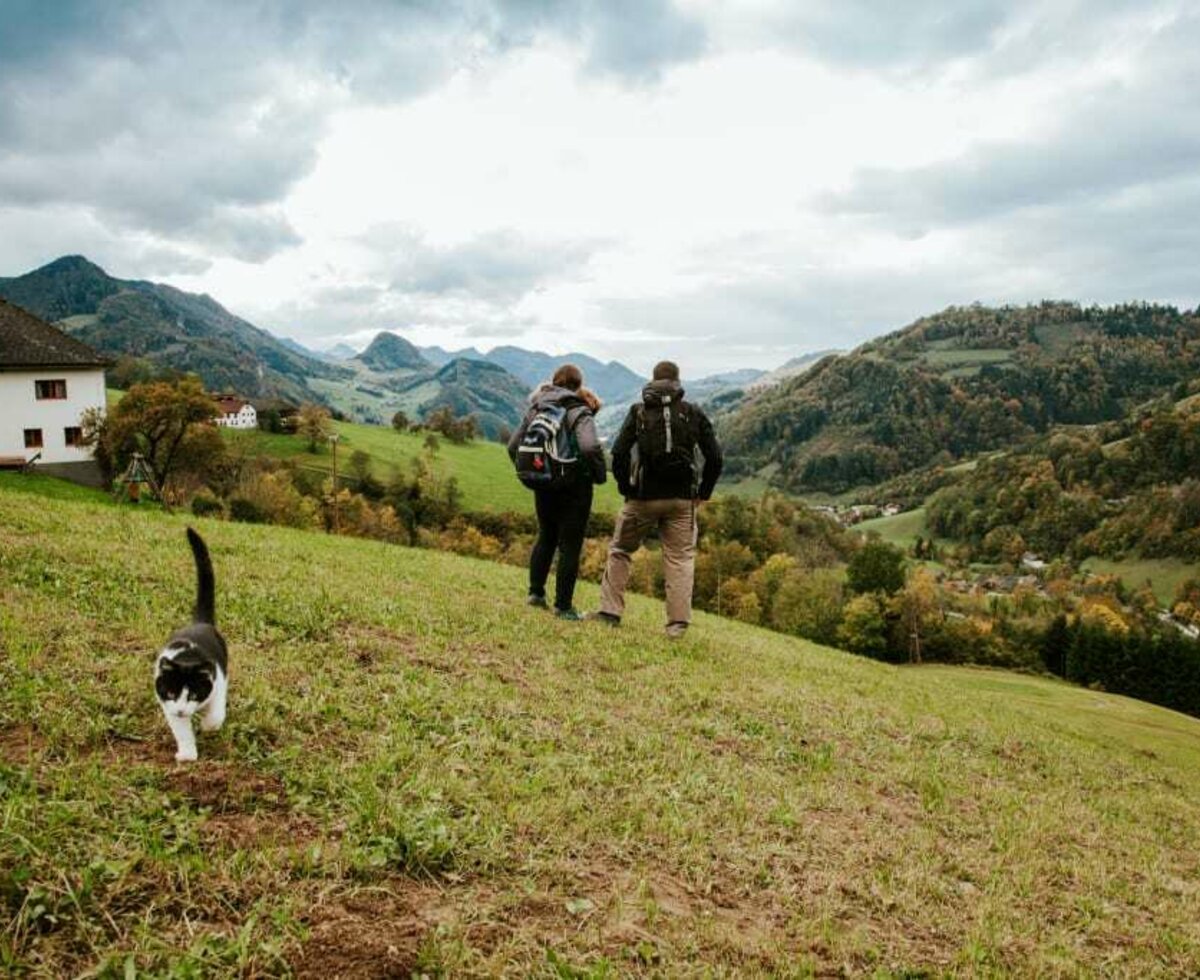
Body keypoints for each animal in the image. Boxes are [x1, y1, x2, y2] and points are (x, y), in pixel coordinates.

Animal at [156, 527, 228, 762]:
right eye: (171, 694)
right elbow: (181, 730)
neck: (187, 658)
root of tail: (200, 622)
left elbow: (216, 714)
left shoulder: (218, 682)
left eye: (194, 695)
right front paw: (187, 754)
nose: (181, 710)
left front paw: (208, 725)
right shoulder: (168, 704)